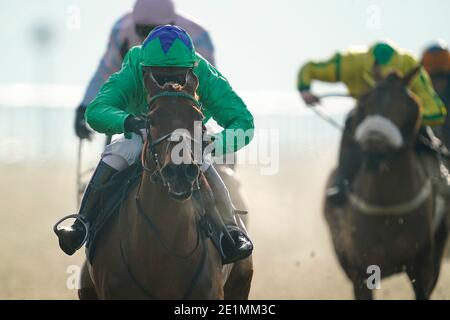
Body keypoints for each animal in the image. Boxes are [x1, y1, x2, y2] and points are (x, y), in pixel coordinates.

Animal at [326, 67, 448, 300]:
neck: (387, 209)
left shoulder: (423, 266)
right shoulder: (360, 273)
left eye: (408, 103)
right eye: (366, 101)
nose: (375, 142)